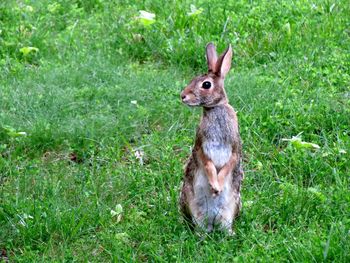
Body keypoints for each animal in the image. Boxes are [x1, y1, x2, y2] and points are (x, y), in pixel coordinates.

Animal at [179, 43, 242, 235]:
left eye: (206, 84)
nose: (182, 95)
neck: (215, 108)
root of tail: (212, 222)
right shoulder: (201, 146)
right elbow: (207, 164)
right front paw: (214, 185)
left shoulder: (234, 148)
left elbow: (228, 164)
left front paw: (218, 186)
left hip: (231, 208)